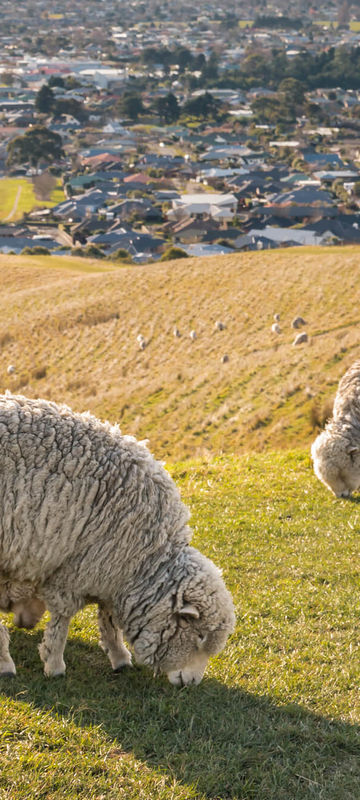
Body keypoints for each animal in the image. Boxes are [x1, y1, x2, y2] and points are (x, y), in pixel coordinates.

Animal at [0, 396, 235, 684]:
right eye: (199, 636)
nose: (191, 683)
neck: (145, 556)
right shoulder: (74, 570)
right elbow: (63, 621)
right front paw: (54, 663)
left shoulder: (108, 572)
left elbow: (109, 619)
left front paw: (120, 657)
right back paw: (5, 663)